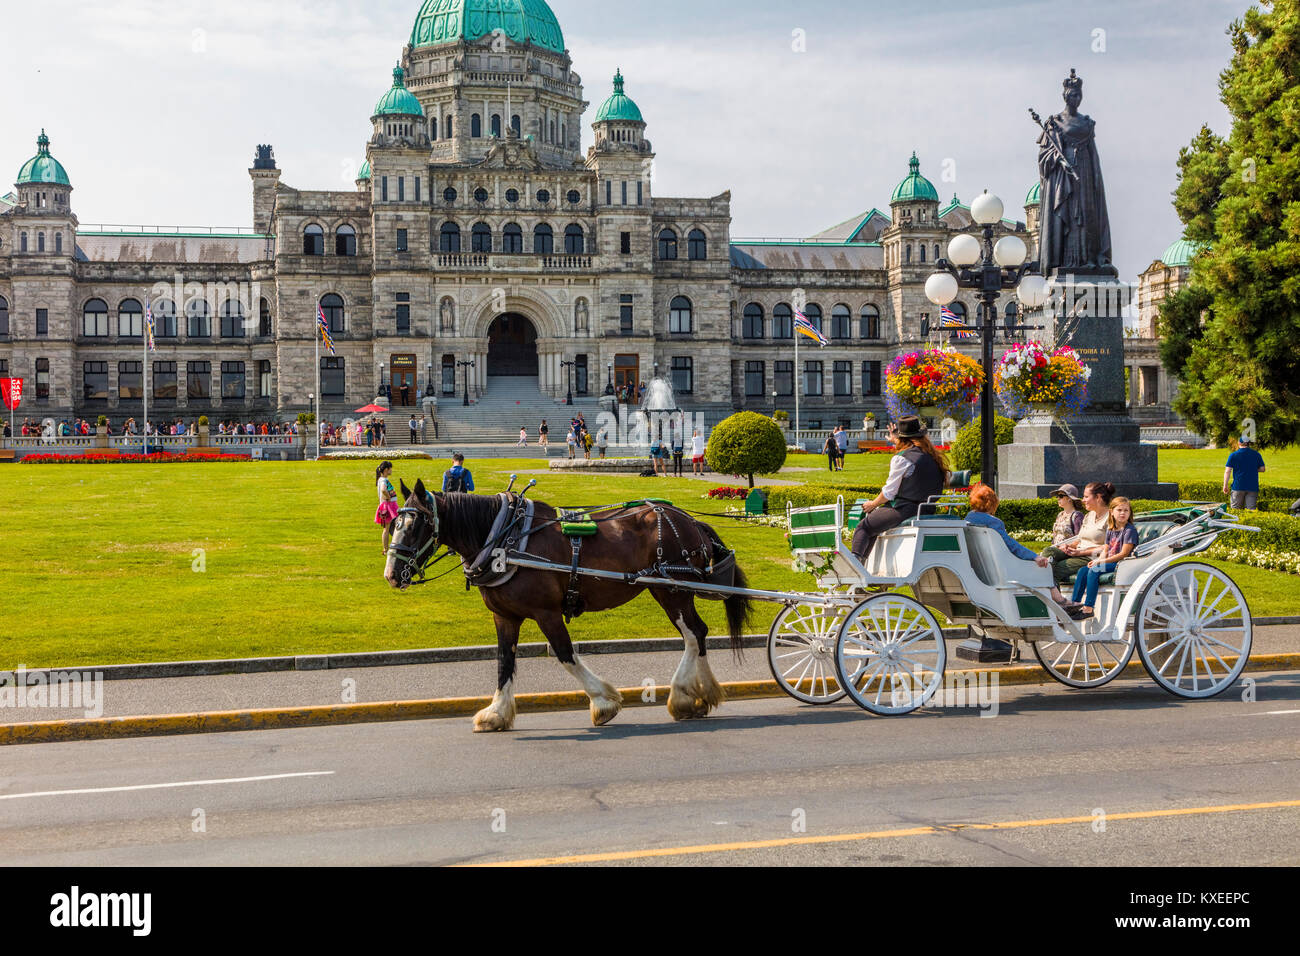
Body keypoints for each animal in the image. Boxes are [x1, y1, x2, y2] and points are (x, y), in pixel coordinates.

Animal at [379, 478, 754, 733]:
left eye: (416, 525)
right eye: (394, 522)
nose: (392, 574)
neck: (505, 538)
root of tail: (690, 520)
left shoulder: (547, 612)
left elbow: (564, 653)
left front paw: (604, 702)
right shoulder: (504, 616)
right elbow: (503, 661)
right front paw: (496, 713)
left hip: (671, 590)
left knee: (692, 634)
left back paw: (682, 695)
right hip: (670, 590)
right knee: (699, 632)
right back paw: (701, 695)